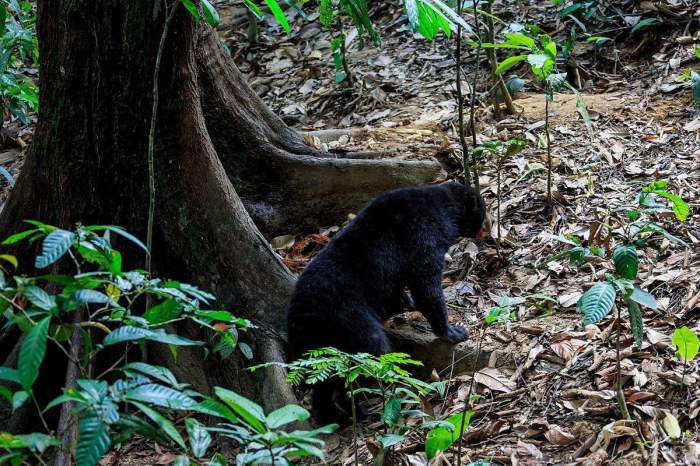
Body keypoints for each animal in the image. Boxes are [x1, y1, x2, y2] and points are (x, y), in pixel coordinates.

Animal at [288, 181, 490, 422]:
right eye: (483, 210)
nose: (487, 230)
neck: (441, 208)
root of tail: (299, 321)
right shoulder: (422, 238)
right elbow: (427, 288)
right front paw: (454, 332)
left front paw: (406, 302)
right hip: (350, 322)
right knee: (363, 358)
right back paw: (356, 411)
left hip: (319, 344)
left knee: (323, 377)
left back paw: (331, 416)